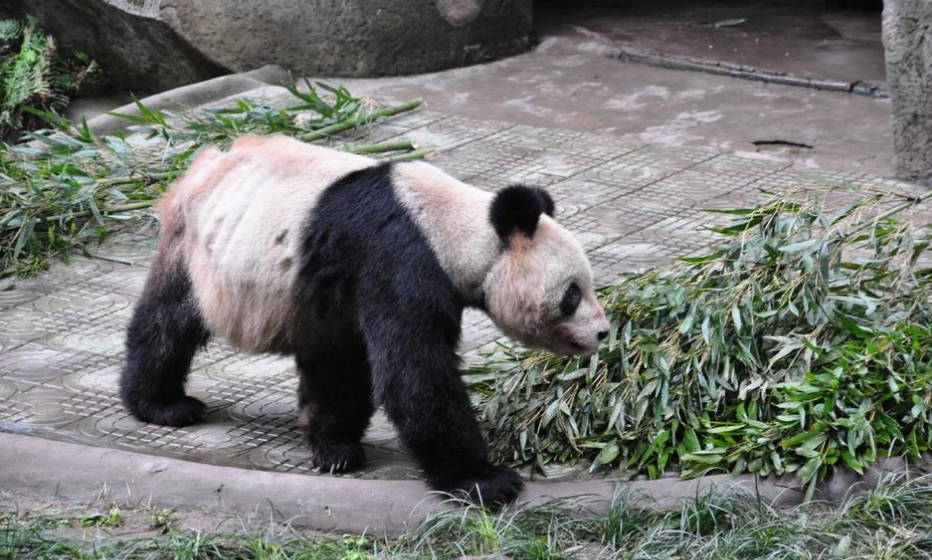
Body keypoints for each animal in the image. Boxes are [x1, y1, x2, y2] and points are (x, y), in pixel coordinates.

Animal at [122, 133, 612, 506]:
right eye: (572, 294)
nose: (603, 332)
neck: (459, 227)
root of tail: (201, 165)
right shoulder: (399, 256)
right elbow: (413, 373)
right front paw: (484, 480)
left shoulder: (352, 284)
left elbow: (350, 365)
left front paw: (335, 447)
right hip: (197, 248)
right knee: (168, 322)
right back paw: (163, 405)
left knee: (323, 355)